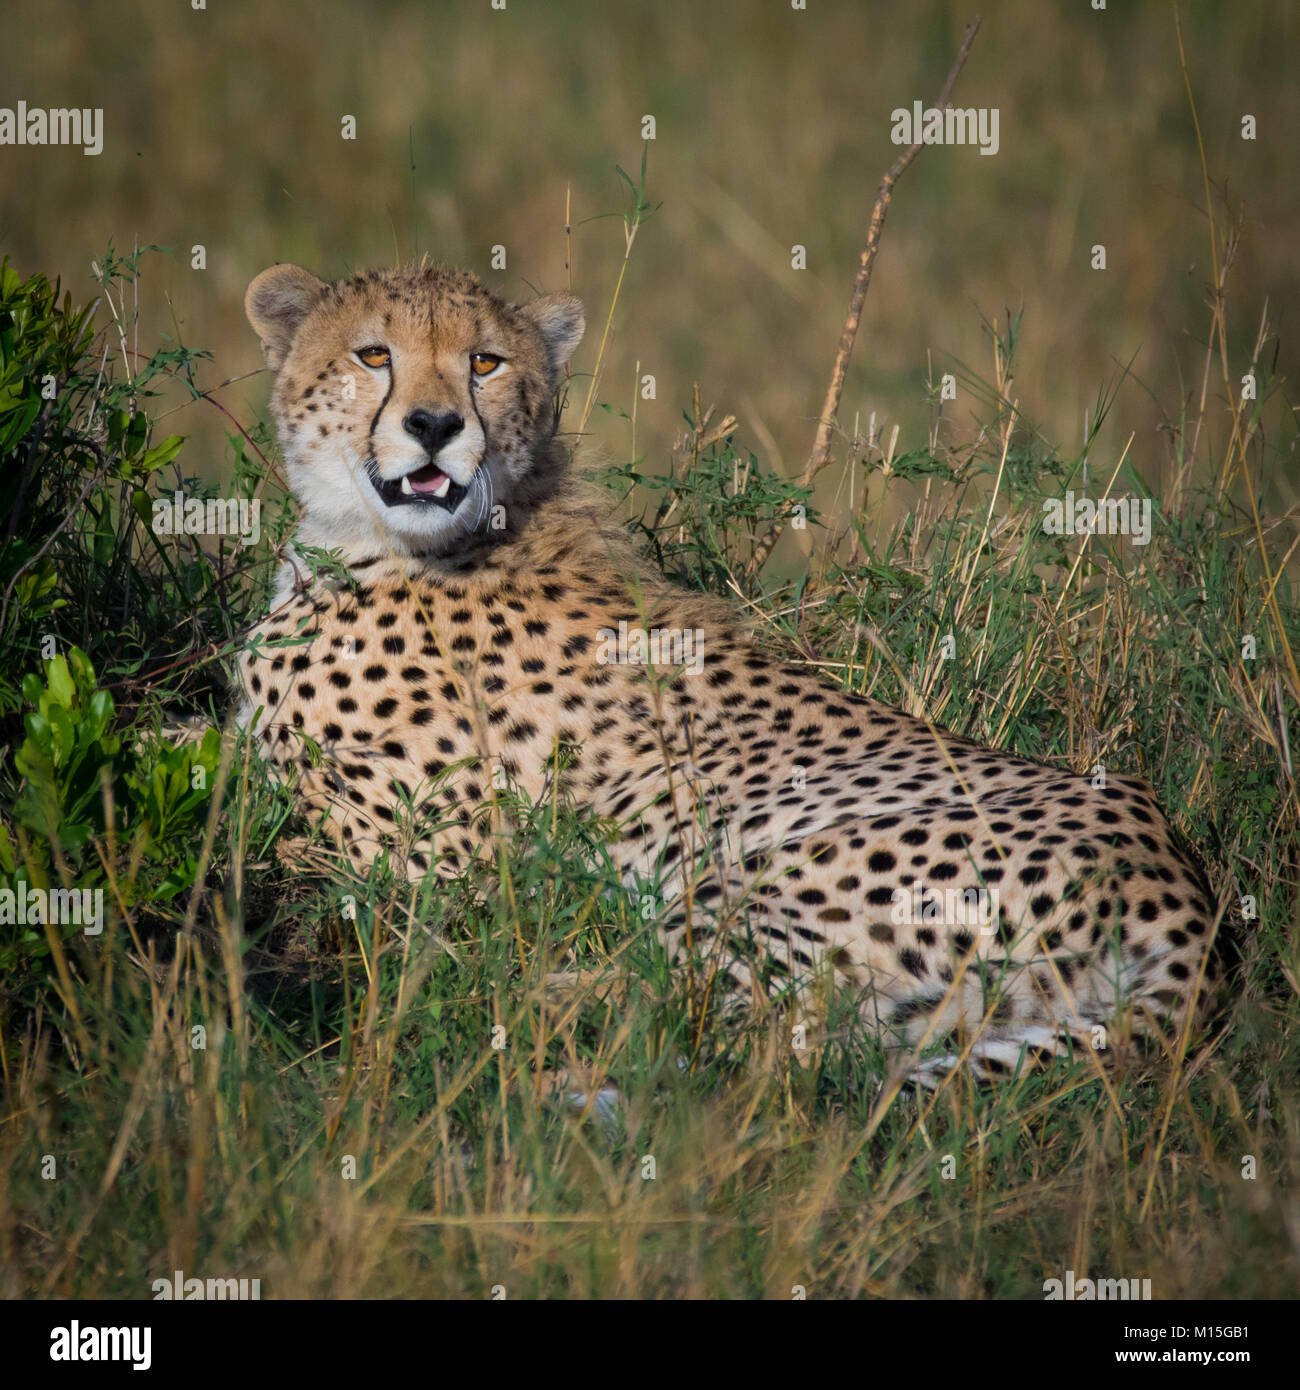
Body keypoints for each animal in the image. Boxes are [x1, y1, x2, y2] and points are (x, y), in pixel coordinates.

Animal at [237, 259, 1221, 1087]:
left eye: (485, 362)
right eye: (373, 354)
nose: (435, 427)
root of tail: (1184, 886)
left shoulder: (411, 859)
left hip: (755, 872)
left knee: (739, 1023)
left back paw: (514, 1014)